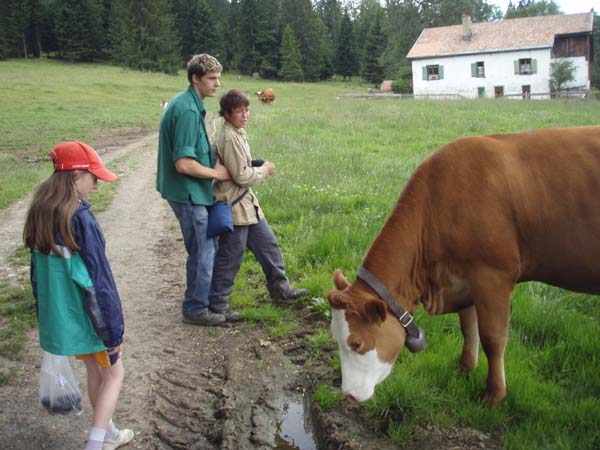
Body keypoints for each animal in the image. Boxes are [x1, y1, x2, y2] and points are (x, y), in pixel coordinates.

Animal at [328, 125, 600, 404]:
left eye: (357, 343)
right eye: (335, 337)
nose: (348, 395)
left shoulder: (493, 275)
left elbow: (493, 337)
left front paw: (494, 394)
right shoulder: (463, 277)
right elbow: (469, 328)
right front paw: (464, 368)